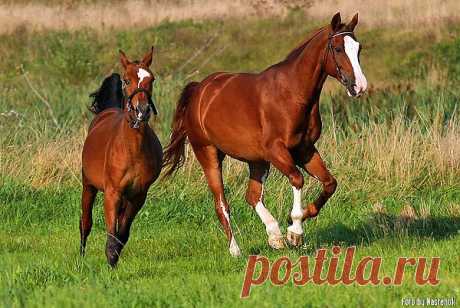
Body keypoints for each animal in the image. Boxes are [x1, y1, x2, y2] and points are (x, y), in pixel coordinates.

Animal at [80, 48, 163, 268]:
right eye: (126, 80)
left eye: (151, 79)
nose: (142, 110)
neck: (132, 150)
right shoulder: (112, 193)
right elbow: (111, 234)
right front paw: (110, 263)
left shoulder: (138, 196)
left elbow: (122, 234)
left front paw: (114, 259)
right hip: (88, 186)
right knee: (85, 223)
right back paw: (81, 257)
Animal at [164, 12, 368, 255]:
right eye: (337, 48)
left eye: (358, 48)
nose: (359, 87)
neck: (292, 93)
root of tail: (199, 90)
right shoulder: (276, 151)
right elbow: (297, 179)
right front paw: (295, 231)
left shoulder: (305, 150)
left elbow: (330, 183)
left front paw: (293, 226)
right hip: (209, 154)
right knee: (221, 203)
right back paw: (236, 250)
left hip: (257, 161)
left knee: (252, 196)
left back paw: (275, 236)